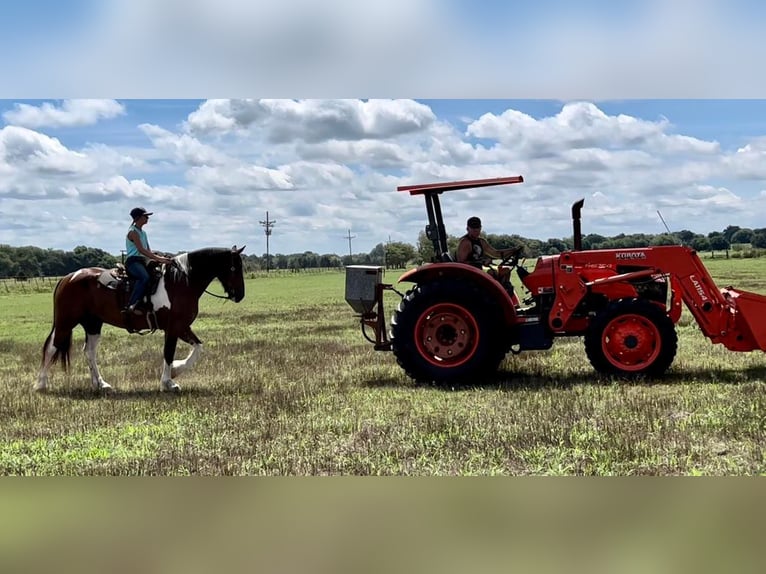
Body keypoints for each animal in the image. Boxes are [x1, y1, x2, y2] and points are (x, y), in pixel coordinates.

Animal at [36, 245, 246, 394]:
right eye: (234, 267)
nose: (240, 295)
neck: (180, 282)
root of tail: (68, 277)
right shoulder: (173, 327)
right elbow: (168, 353)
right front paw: (168, 382)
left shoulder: (182, 326)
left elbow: (198, 347)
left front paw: (176, 371)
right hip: (65, 322)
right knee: (52, 347)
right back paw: (41, 384)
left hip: (93, 324)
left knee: (89, 352)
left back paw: (101, 384)